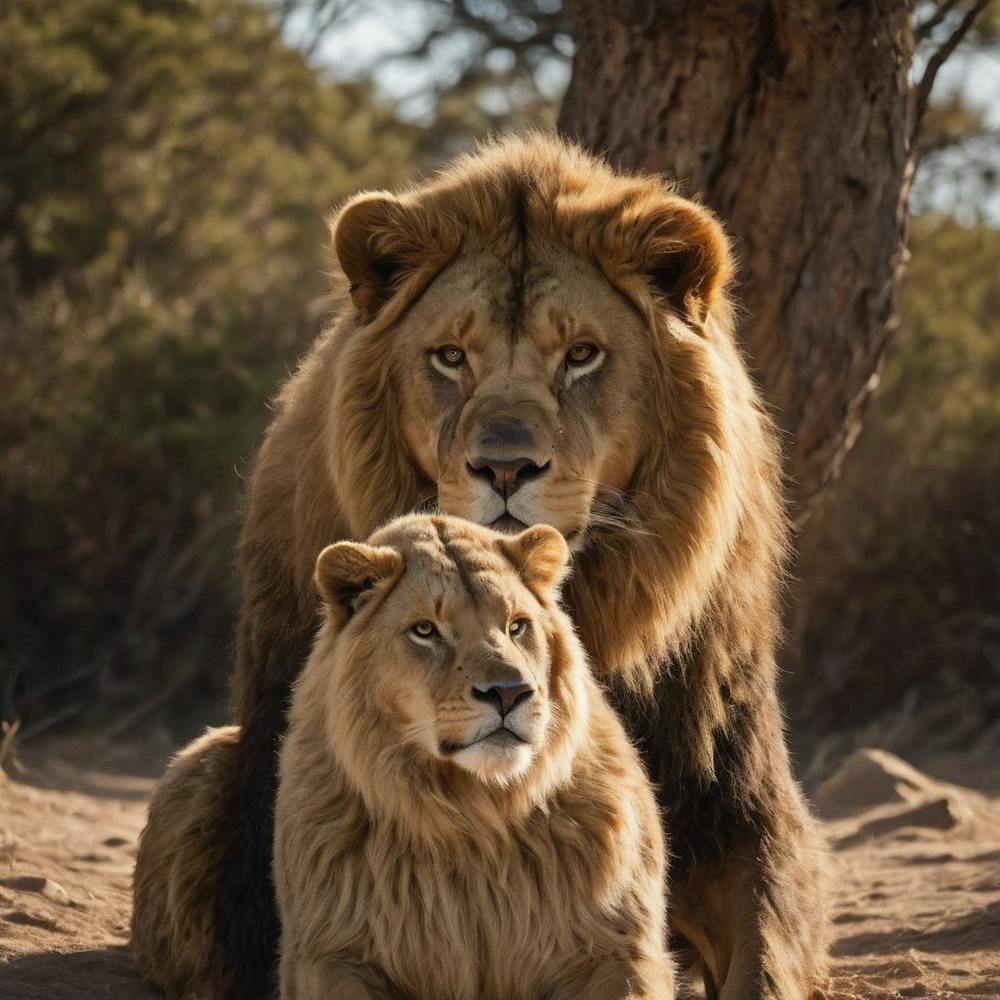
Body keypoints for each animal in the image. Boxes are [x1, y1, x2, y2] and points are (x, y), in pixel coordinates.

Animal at [275, 514, 674, 1000]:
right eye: (425, 631)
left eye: (517, 626)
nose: (510, 692)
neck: (475, 814)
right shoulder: (333, 954)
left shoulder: (620, 949)